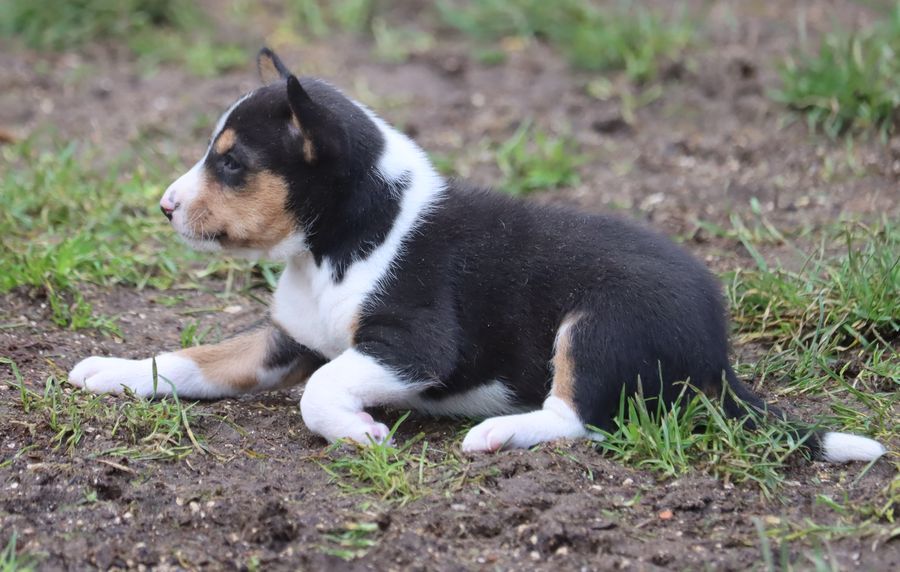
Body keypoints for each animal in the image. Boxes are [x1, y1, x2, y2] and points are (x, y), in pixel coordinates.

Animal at [70, 47, 884, 462]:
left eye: (233, 163)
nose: (165, 205)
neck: (341, 243)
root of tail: (719, 355)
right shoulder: (287, 339)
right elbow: (195, 359)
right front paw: (114, 370)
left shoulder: (410, 346)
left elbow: (319, 387)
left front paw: (357, 431)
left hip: (597, 323)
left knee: (577, 418)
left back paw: (497, 432)